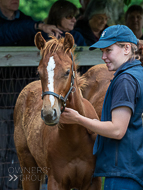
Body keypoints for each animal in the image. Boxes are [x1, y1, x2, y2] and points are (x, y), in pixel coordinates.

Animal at [13, 31, 100, 189]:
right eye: (39, 72)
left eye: (67, 72)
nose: (49, 114)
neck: (75, 139)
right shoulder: (55, 181)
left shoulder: (93, 182)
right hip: (29, 171)